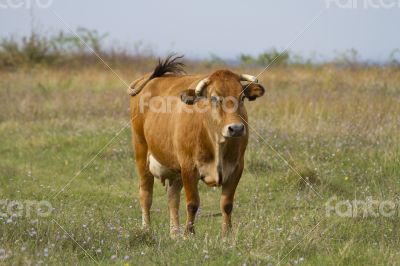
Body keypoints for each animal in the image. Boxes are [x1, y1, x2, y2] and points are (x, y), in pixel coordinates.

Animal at [129, 55, 266, 236]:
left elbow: (227, 204)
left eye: (242, 97)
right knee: (146, 194)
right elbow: (192, 203)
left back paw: (175, 233)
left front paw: (226, 234)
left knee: (173, 198)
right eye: (214, 98)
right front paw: (189, 234)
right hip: (141, 152)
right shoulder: (189, 168)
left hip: (176, 169)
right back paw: (146, 229)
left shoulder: (236, 168)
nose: (236, 128)